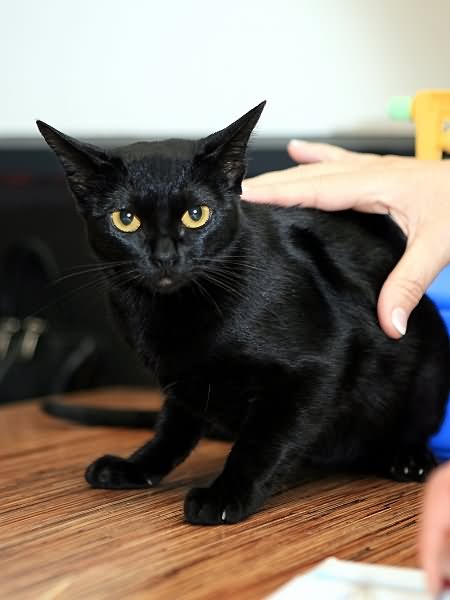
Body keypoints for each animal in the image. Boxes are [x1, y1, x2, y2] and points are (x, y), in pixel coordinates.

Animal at [37, 103, 450, 524]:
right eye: (125, 219)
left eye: (196, 214)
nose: (165, 256)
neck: (173, 313)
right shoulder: (183, 379)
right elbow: (172, 428)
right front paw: (138, 466)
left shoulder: (318, 367)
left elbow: (263, 441)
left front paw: (225, 495)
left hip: (431, 365)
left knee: (412, 423)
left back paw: (408, 457)